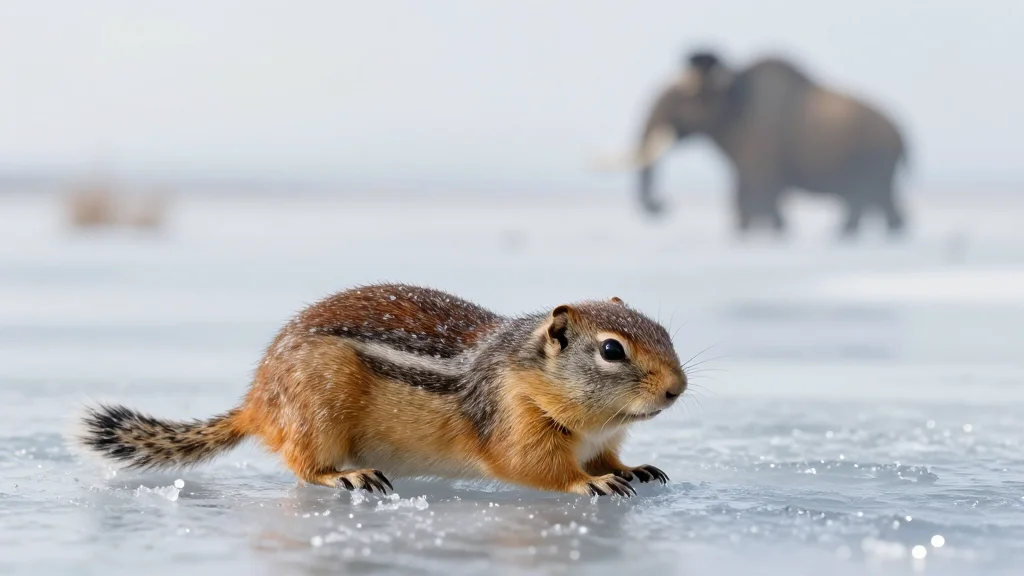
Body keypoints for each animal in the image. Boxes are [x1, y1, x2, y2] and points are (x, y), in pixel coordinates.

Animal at [77, 283, 686, 498]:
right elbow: (535, 468)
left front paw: (633, 469)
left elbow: (610, 458)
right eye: (612, 351)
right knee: (305, 466)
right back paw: (348, 475)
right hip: (318, 412)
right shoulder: (515, 425)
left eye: (664, 330)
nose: (677, 390)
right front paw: (593, 483)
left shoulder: (599, 439)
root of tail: (256, 402)